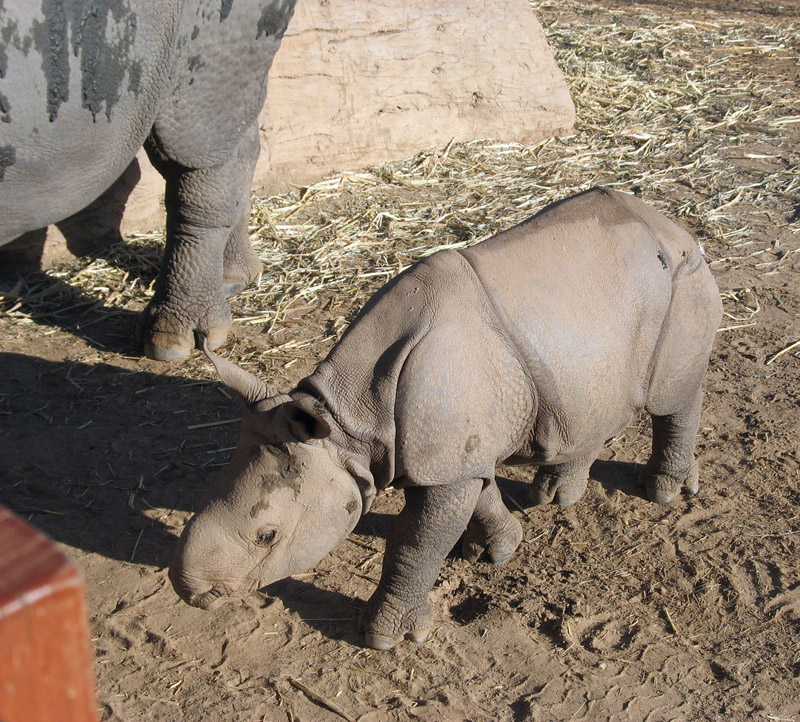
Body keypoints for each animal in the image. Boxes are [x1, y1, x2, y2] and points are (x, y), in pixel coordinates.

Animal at [172, 186, 720, 648]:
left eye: (267, 535)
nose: (191, 593)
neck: (348, 422)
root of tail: (671, 225)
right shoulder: (455, 450)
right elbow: (477, 497)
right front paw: (499, 549)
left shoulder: (443, 460)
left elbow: (415, 541)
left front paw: (385, 638)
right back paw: (556, 497)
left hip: (683, 279)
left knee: (673, 393)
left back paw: (663, 492)